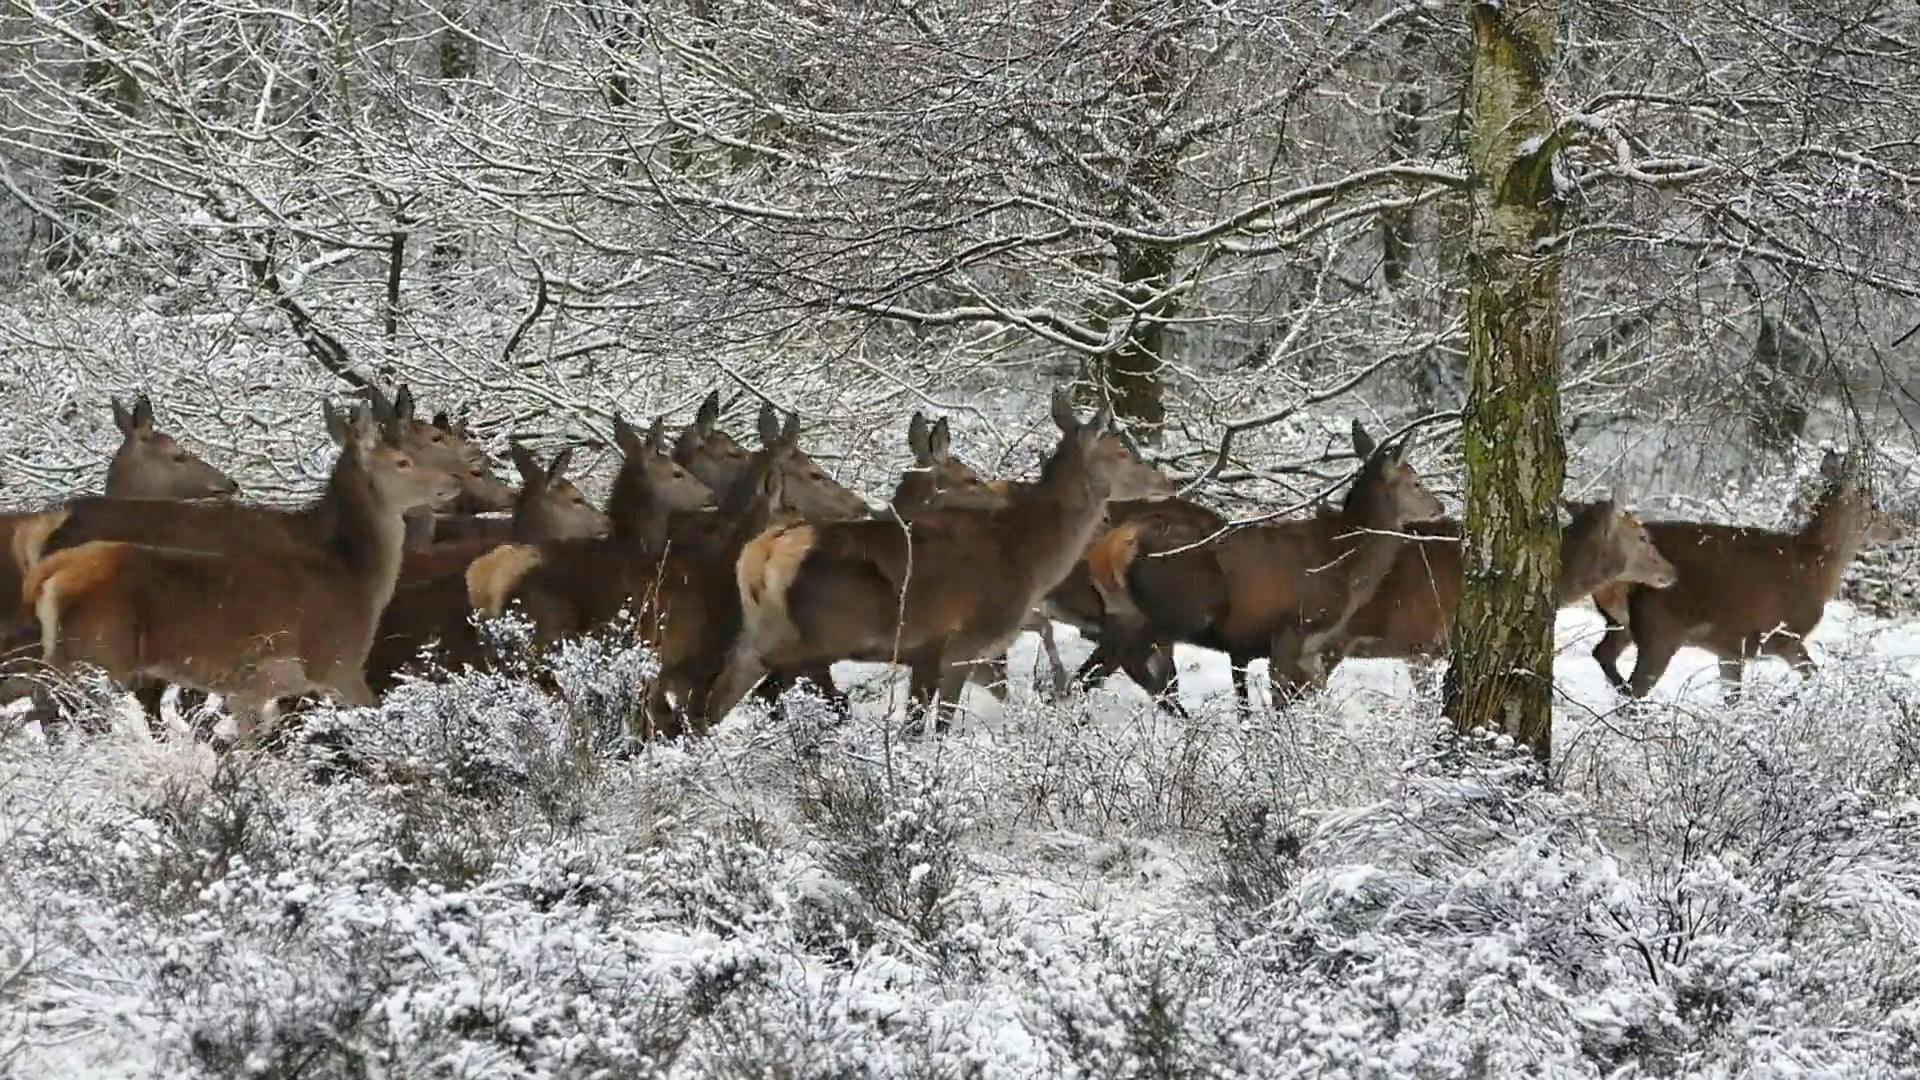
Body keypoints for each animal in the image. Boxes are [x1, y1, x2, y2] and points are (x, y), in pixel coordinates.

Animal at [22, 399, 460, 745]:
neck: (357, 578)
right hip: (93, 654)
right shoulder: (337, 663)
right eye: (404, 460)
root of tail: (48, 570)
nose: (455, 479)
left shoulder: (250, 688)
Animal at [710, 388, 1144, 730]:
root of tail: (762, 554)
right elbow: (943, 724)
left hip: (758, 637)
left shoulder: (927, 653)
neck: (1030, 559)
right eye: (1122, 452)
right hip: (813, 639)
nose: (1158, 476)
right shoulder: (965, 643)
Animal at [1082, 417, 1443, 711]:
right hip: (1178, 608)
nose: (1439, 506)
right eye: (1417, 482)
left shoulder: (1291, 650)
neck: (1345, 566)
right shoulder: (1291, 631)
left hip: (1124, 610)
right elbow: (1281, 706)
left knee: (1093, 670)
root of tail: (1116, 544)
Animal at [1582, 447, 1896, 691]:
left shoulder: (1730, 646)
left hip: (1622, 623)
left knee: (1602, 654)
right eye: (1873, 503)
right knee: (1633, 689)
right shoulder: (1779, 635)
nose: (1899, 527)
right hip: (1659, 627)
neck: (1814, 564)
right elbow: (1813, 675)